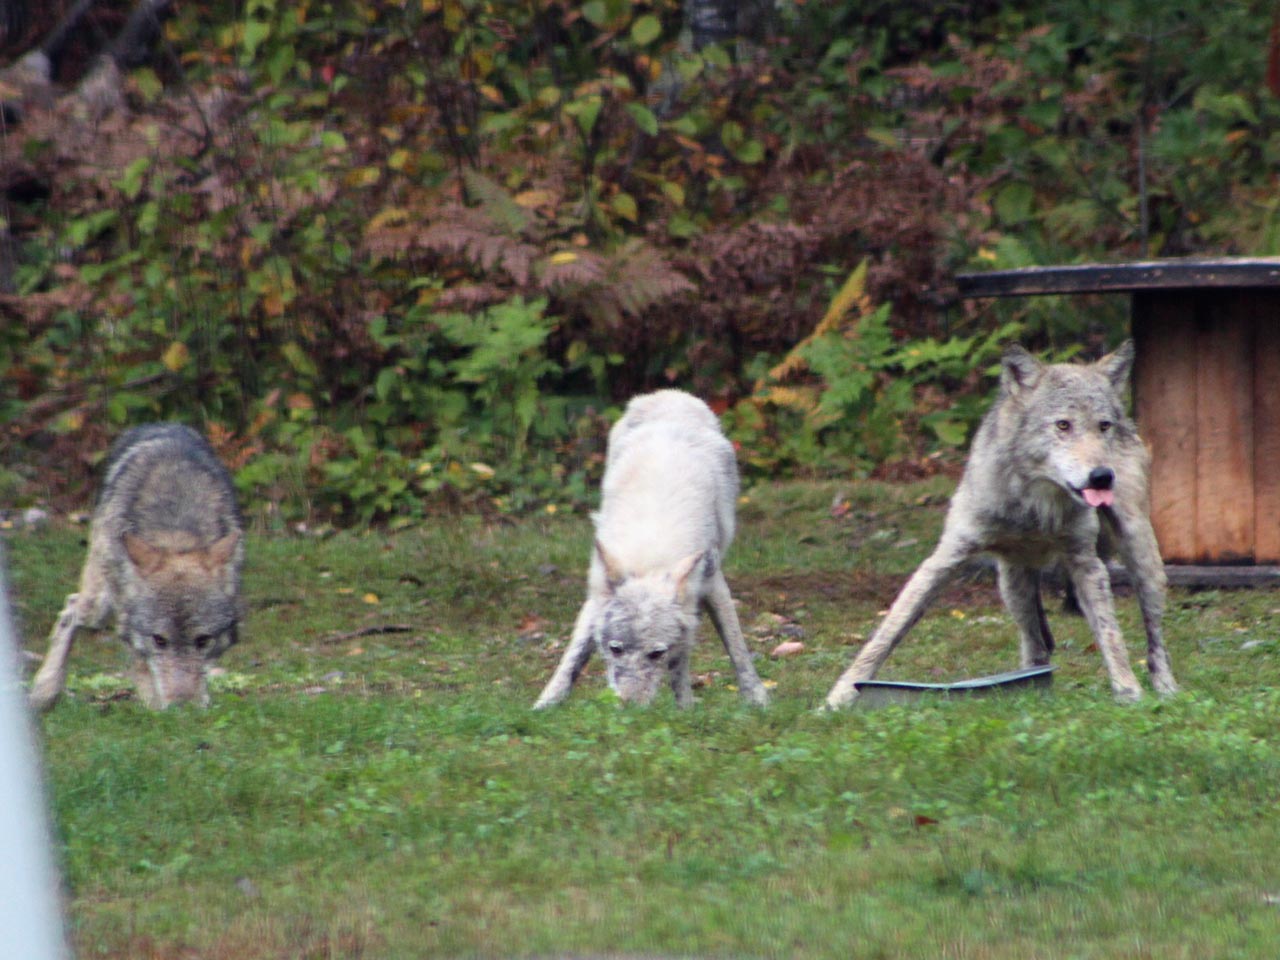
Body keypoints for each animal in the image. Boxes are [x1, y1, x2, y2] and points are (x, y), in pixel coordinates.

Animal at [28, 423, 244, 711]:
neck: (176, 532)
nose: (183, 707)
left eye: (203, 640)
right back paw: (45, 690)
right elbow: (143, 669)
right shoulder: (129, 627)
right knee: (70, 609)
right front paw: (157, 709)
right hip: (98, 606)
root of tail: (162, 424)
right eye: (159, 640)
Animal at [534, 390, 769, 708]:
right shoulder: (596, 593)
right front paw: (545, 704)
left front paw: (748, 699)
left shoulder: (711, 583)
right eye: (615, 649)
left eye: (656, 653)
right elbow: (574, 657)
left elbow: (731, 648)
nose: (629, 706)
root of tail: (669, 395)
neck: (650, 555)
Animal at [825, 341, 1179, 708]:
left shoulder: (1085, 562)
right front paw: (839, 696)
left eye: (1103, 426)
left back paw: (1166, 689)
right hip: (1012, 584)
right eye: (1063, 425)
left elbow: (1111, 634)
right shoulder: (946, 557)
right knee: (1037, 647)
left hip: (1140, 554)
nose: (1102, 476)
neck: (1034, 507)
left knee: (1154, 636)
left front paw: (1128, 691)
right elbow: (888, 632)